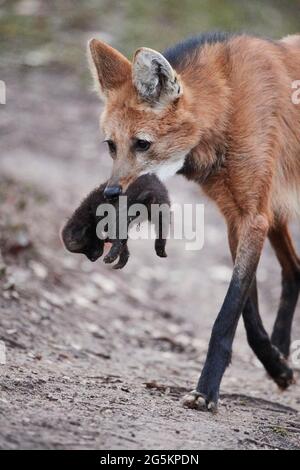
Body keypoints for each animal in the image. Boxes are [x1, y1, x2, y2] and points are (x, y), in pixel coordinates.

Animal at [85, 32, 300, 412]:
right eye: (111, 145)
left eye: (142, 144)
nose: (111, 192)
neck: (227, 109)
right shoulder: (239, 219)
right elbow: (248, 315)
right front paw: (277, 365)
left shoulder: (254, 218)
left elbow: (227, 315)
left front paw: (206, 391)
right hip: (277, 212)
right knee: (295, 271)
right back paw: (283, 350)